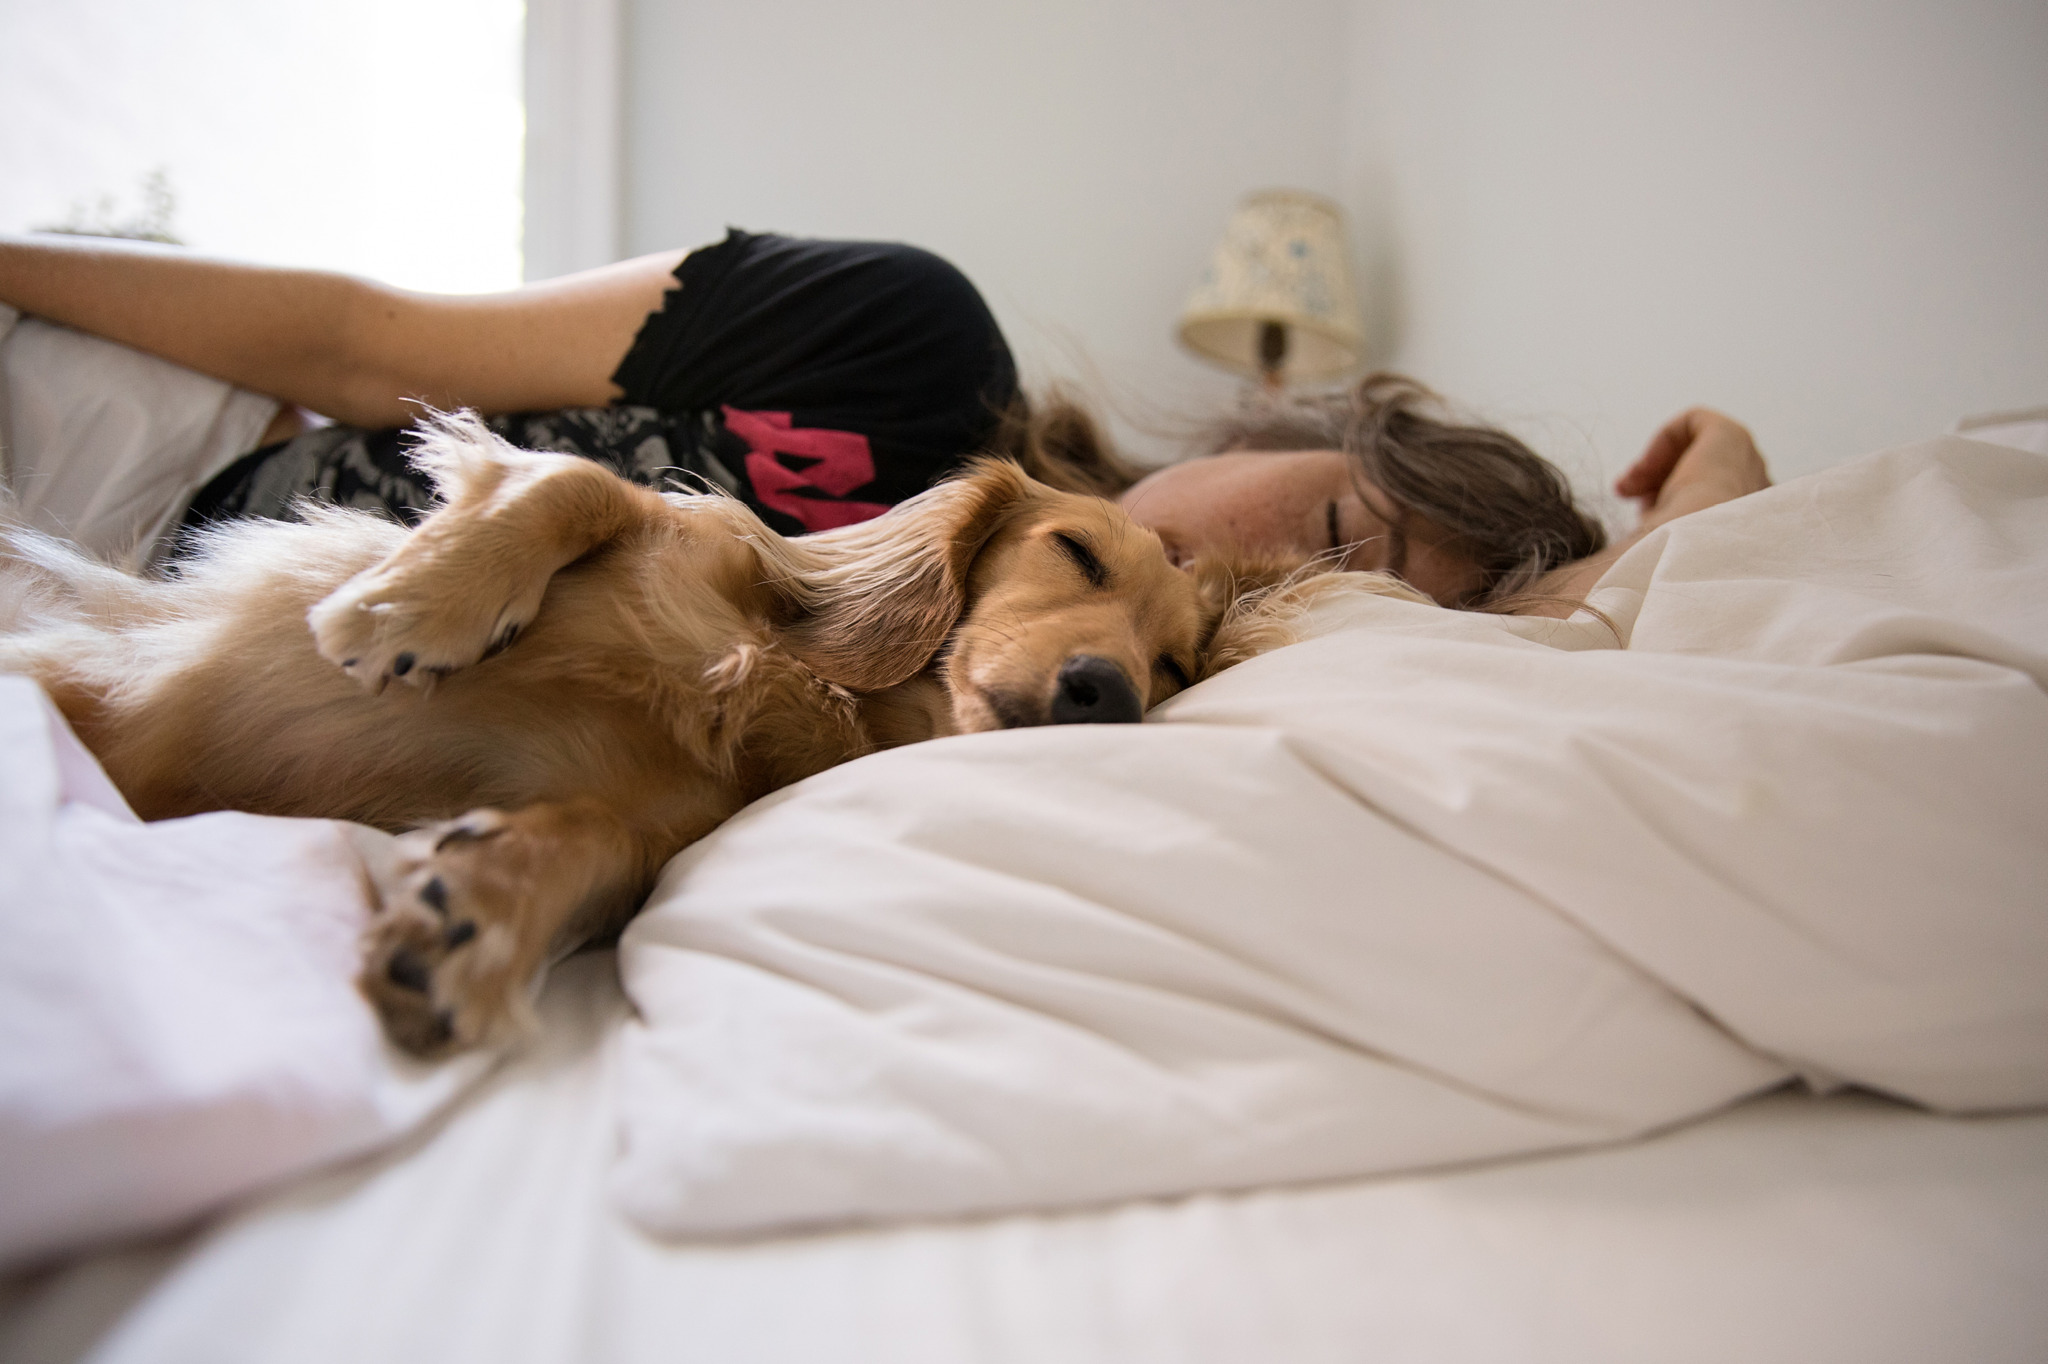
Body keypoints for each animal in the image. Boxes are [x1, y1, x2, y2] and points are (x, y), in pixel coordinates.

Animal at [3, 413, 1345, 1056]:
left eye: (1173, 667)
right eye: (1075, 551)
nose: (1107, 689)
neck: (808, 685)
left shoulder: (655, 818)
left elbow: (596, 841)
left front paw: (476, 914)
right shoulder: (663, 533)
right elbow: (582, 481)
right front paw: (412, 606)